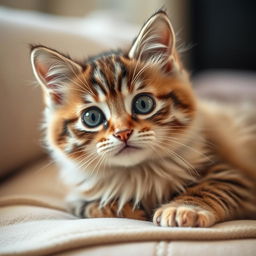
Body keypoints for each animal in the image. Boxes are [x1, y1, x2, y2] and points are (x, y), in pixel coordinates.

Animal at [30, 10, 256, 227]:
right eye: (92, 117)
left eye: (143, 104)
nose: (123, 133)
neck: (138, 175)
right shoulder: (76, 197)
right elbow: (90, 206)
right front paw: (124, 209)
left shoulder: (235, 176)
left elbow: (210, 187)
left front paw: (183, 208)